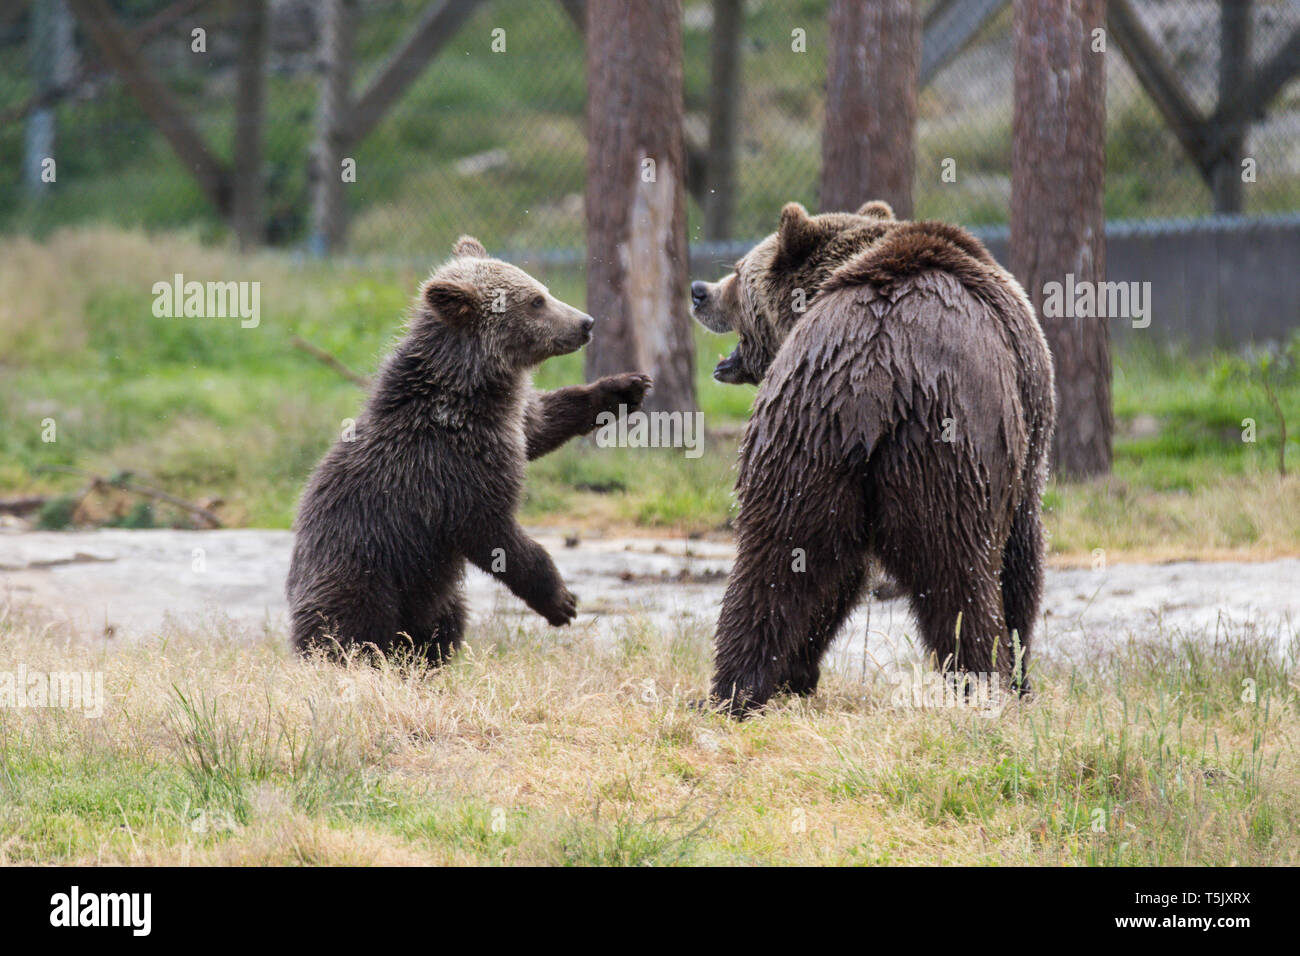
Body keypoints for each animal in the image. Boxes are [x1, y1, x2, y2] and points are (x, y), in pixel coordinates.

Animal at [288, 236, 652, 665]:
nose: (586, 323)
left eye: (544, 290)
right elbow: (494, 535)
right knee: (352, 634)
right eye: (536, 301)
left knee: (442, 628)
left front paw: (624, 388)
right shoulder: (451, 471)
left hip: (434, 594)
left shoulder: (508, 425)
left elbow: (542, 422)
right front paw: (561, 601)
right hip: (363, 572)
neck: (472, 394)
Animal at [690, 201, 1055, 715]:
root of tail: (874, 364)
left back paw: (731, 693)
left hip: (802, 435)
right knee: (961, 577)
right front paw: (1023, 676)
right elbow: (1020, 553)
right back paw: (985, 688)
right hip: (947, 453)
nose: (699, 291)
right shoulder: (1027, 435)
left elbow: (830, 577)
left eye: (738, 272)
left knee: (769, 562)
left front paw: (796, 672)